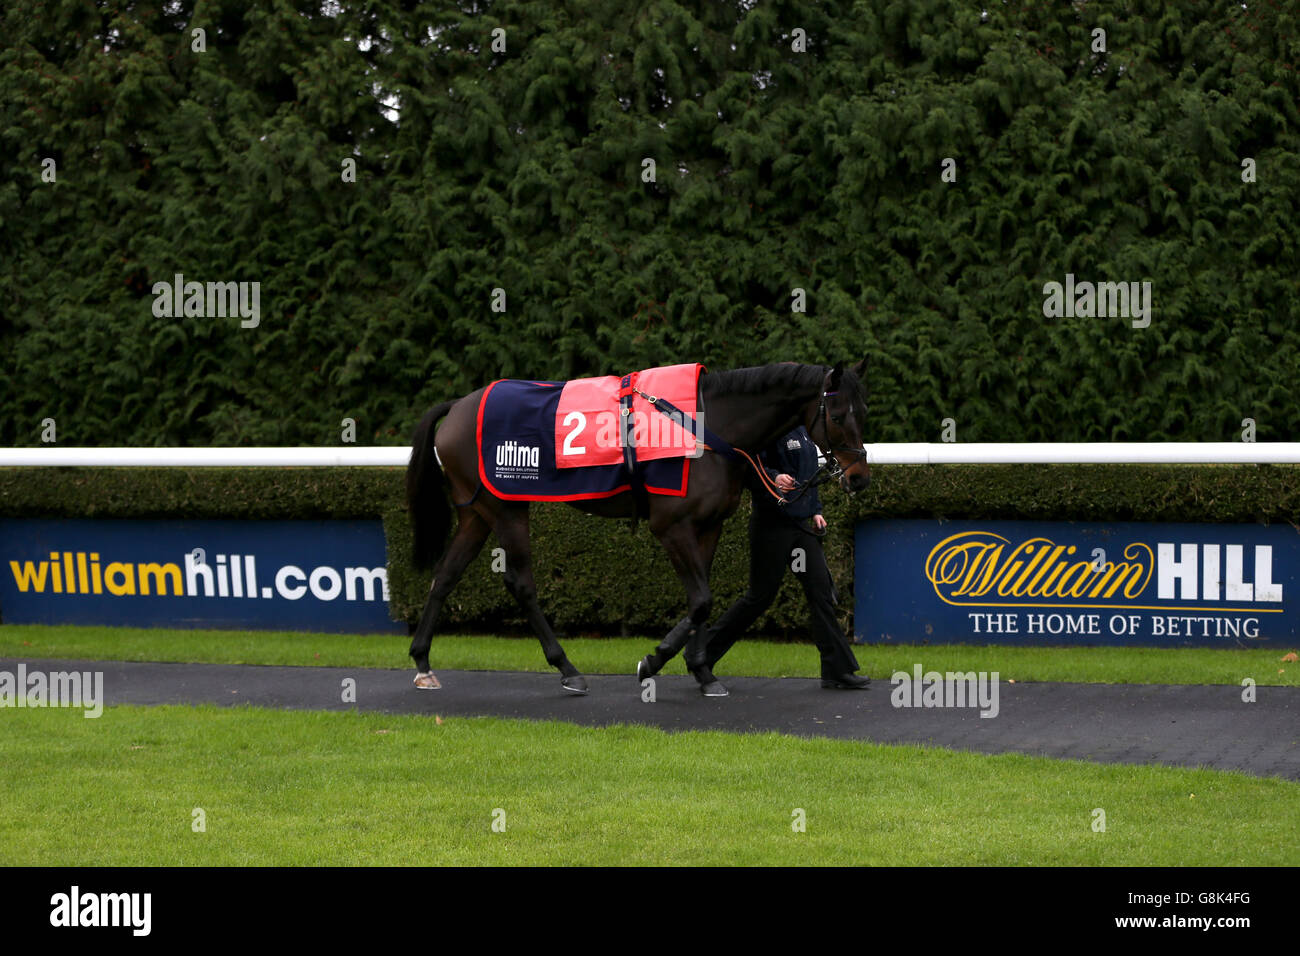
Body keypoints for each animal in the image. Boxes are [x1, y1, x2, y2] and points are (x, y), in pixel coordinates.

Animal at [403, 358, 873, 697]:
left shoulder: (708, 526)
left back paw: (423, 662)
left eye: (863, 410)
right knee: (520, 583)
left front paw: (703, 672)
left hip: (477, 512)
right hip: (505, 507)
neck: (704, 425)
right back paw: (567, 668)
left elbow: (703, 599)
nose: (858, 477)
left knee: (445, 575)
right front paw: (654, 660)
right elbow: (700, 599)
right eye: (837, 413)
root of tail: (458, 406)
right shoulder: (671, 526)